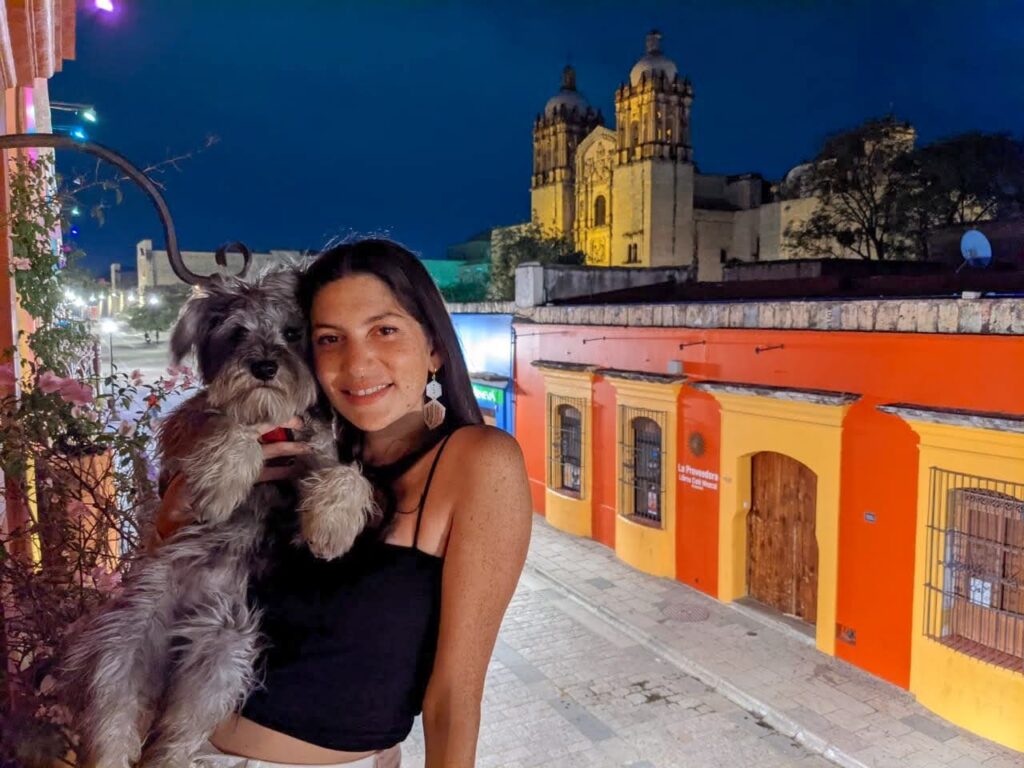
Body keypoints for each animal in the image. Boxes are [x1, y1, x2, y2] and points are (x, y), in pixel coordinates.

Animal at [58, 268, 376, 768]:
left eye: (293, 333)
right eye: (237, 332)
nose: (264, 367)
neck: (272, 419)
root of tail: (181, 630)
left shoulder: (317, 460)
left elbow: (346, 475)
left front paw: (330, 528)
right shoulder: (182, 432)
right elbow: (227, 423)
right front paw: (225, 481)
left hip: (222, 659)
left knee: (174, 736)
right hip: (120, 648)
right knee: (114, 724)